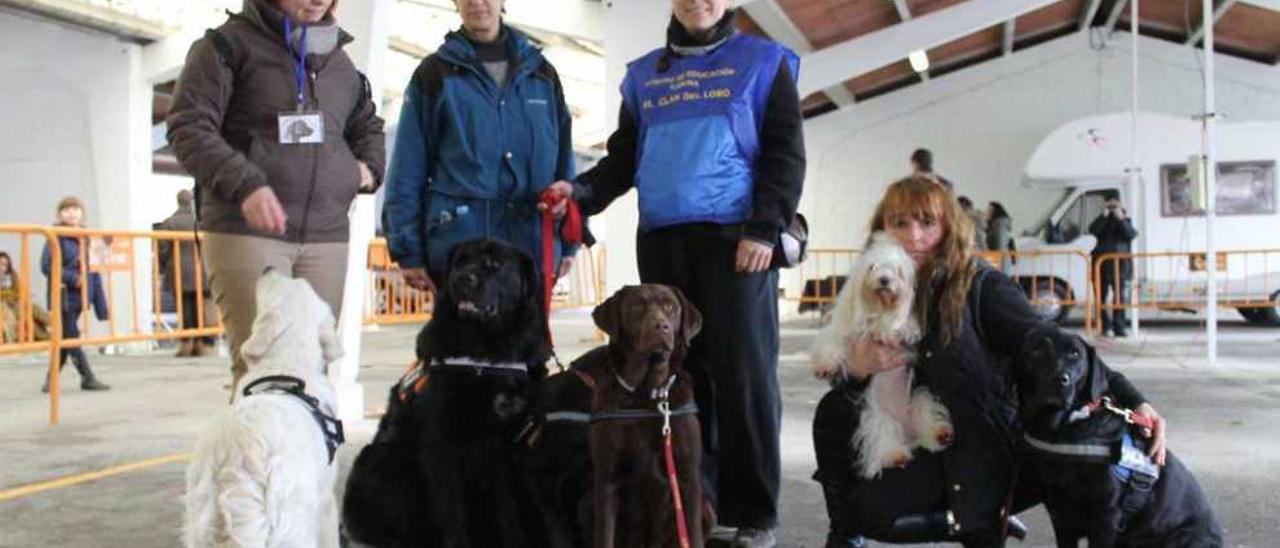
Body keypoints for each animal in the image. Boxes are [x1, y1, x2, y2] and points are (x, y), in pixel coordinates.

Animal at [184, 270, 345, 548]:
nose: (269, 268)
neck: (287, 360)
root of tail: (238, 456)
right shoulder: (326, 503)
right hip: (291, 522)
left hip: (201, 520)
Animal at [343, 239, 552, 548]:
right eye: (459, 262)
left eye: (494, 264)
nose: (462, 279)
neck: (487, 354)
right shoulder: (441, 441)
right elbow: (451, 507)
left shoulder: (504, 444)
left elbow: (506, 506)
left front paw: (514, 540)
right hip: (382, 462)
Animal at [808, 231, 952, 478]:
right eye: (873, 267)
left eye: (897, 271)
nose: (885, 280)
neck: (878, 307)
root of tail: (906, 432)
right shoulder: (843, 330)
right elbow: (832, 343)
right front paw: (824, 367)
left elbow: (897, 324)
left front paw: (886, 329)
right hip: (877, 418)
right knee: (885, 438)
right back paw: (896, 455)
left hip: (918, 399)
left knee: (927, 420)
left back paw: (939, 434)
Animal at [1013, 325, 1223, 548]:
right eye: (1037, 350)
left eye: (1075, 354)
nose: (1060, 379)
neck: (1063, 429)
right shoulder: (1061, 516)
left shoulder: (1105, 516)